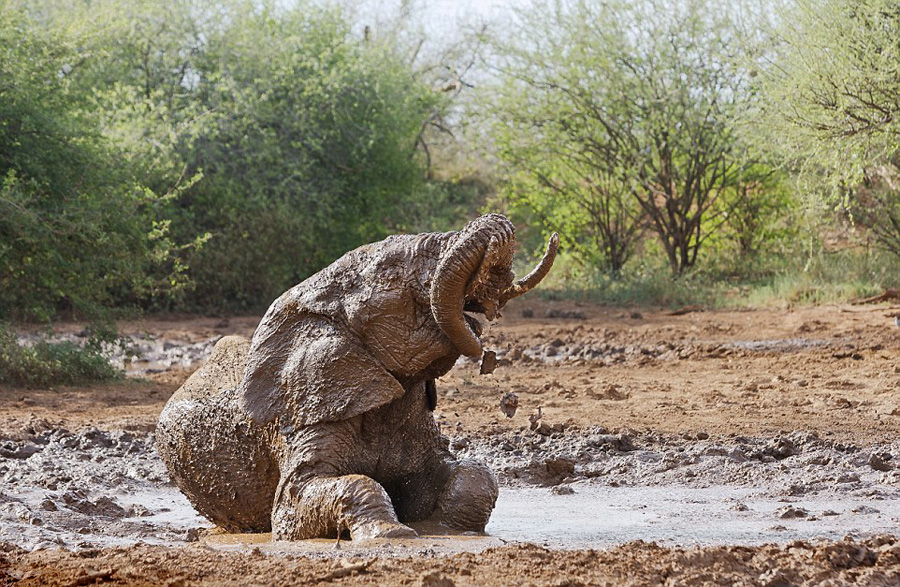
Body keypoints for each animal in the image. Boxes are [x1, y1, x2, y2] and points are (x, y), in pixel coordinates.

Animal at [158, 214, 560, 540]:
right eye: (396, 270)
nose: (553, 238)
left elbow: (473, 475)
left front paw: (448, 529)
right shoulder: (307, 414)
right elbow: (296, 503)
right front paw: (393, 535)